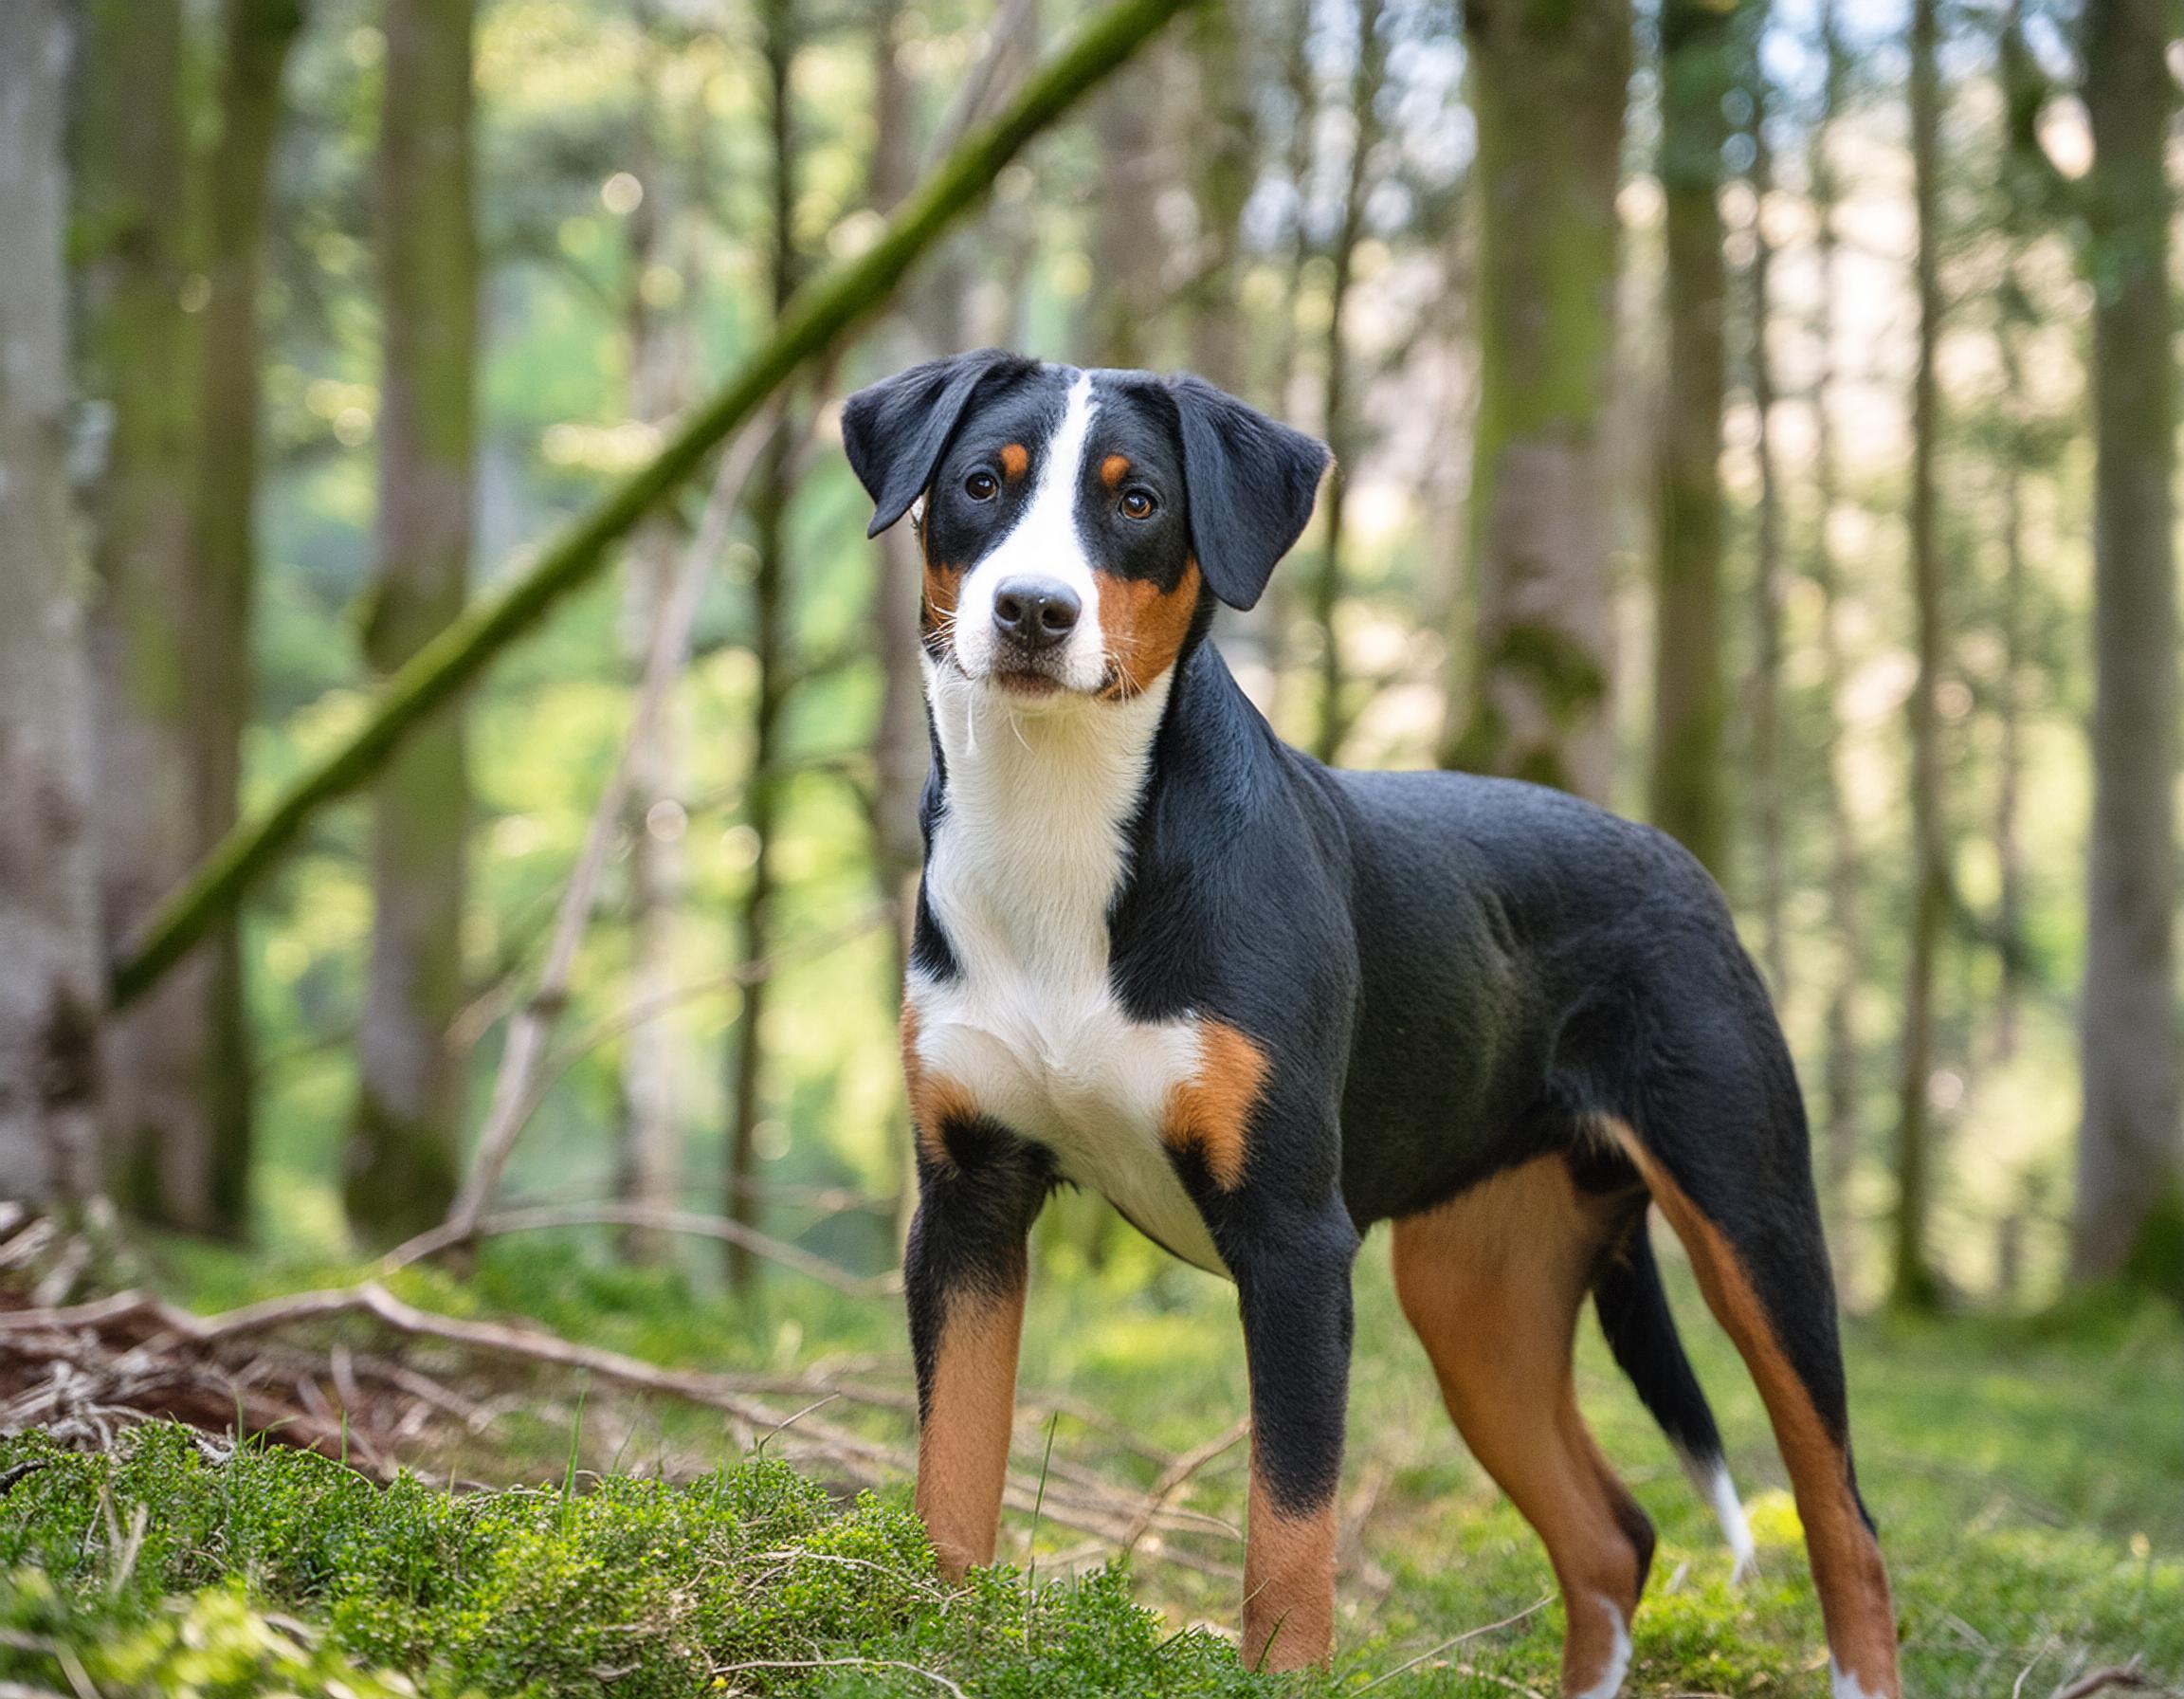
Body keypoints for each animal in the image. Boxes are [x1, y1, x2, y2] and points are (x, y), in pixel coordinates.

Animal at [834, 351, 1895, 1686]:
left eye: (1136, 502)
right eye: (983, 482)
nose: (1034, 610)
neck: (1061, 829)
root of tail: (1675, 859)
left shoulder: (1294, 1239)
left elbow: (1289, 1532)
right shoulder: (970, 1202)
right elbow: (953, 1472)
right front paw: (943, 1640)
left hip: (1754, 1226)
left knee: (1844, 1520)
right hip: (1478, 1298)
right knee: (1613, 1536)